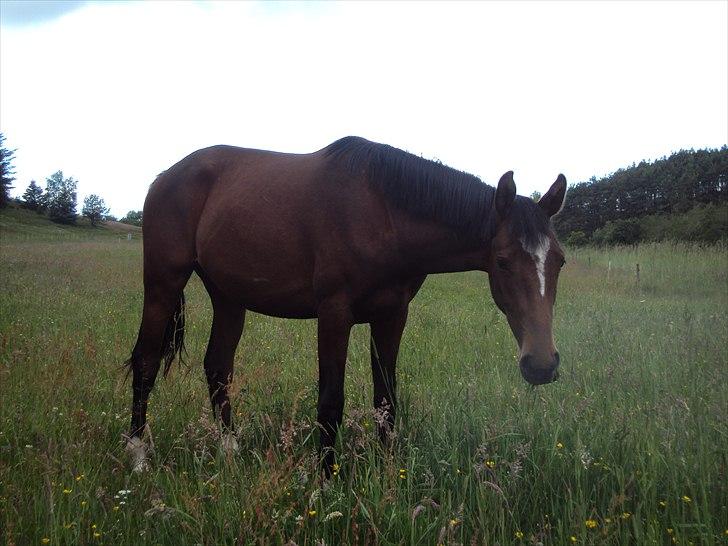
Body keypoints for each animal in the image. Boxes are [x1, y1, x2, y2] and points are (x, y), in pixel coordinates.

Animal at [125, 136, 568, 472]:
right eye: (503, 260)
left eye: (560, 260)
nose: (541, 364)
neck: (382, 212)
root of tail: (165, 178)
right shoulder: (334, 314)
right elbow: (330, 403)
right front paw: (326, 482)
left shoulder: (392, 316)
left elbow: (386, 400)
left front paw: (389, 477)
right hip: (164, 282)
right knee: (146, 362)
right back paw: (139, 456)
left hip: (228, 297)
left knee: (218, 368)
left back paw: (230, 450)